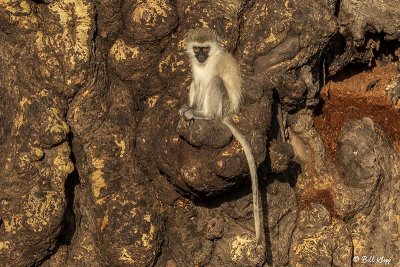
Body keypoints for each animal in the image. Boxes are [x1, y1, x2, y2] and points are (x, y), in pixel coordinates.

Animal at [180, 28, 264, 248]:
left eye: (205, 49)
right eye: (197, 49)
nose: (201, 56)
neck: (206, 62)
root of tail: (227, 114)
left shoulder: (215, 64)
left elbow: (210, 80)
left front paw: (195, 112)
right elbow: (197, 82)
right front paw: (188, 108)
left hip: (222, 106)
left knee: (215, 82)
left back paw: (206, 115)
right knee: (197, 82)